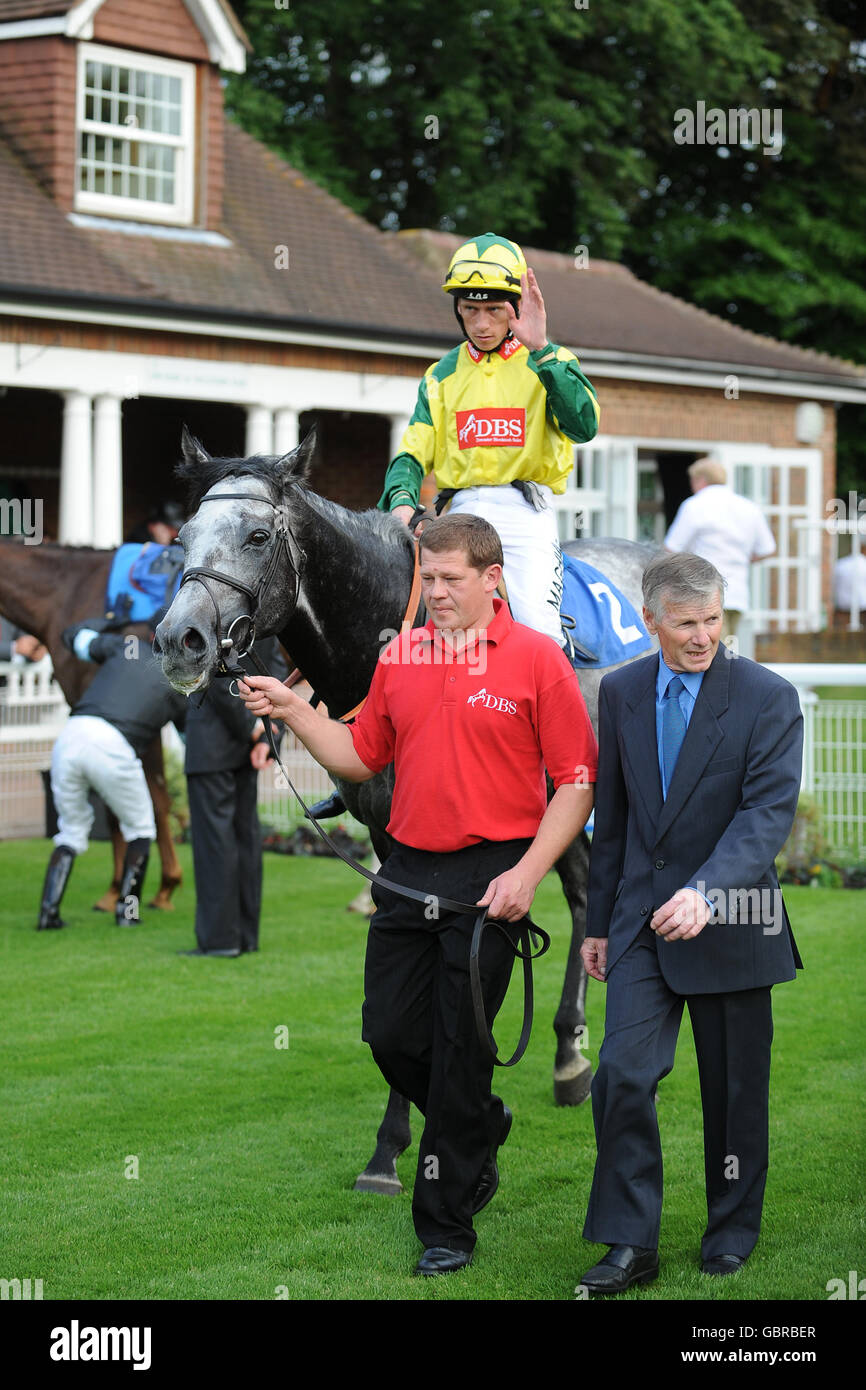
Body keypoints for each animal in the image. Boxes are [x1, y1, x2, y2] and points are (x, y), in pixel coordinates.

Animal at [155, 430, 656, 1195]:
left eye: (258, 535)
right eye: (182, 539)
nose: (179, 639)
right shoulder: (390, 840)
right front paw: (395, 1143)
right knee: (578, 894)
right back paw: (569, 1056)